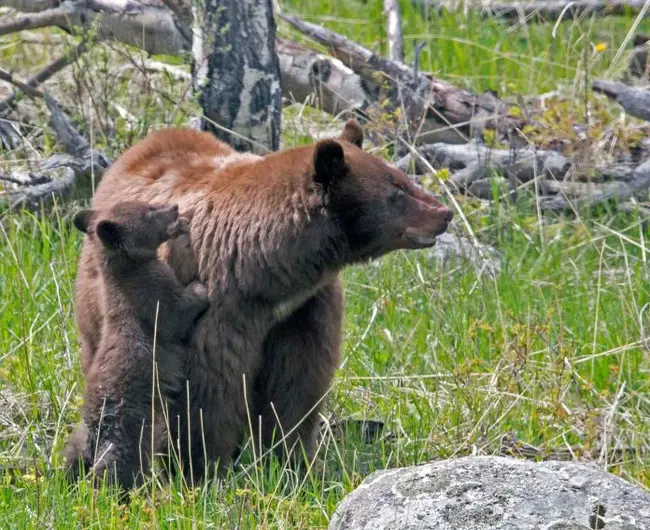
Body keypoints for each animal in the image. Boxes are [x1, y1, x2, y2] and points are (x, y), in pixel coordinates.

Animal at [76, 118, 450, 478]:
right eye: (396, 193)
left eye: (403, 179)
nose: (444, 213)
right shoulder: (227, 306)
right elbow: (209, 387)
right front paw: (200, 467)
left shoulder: (304, 310)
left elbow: (296, 383)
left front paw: (289, 459)